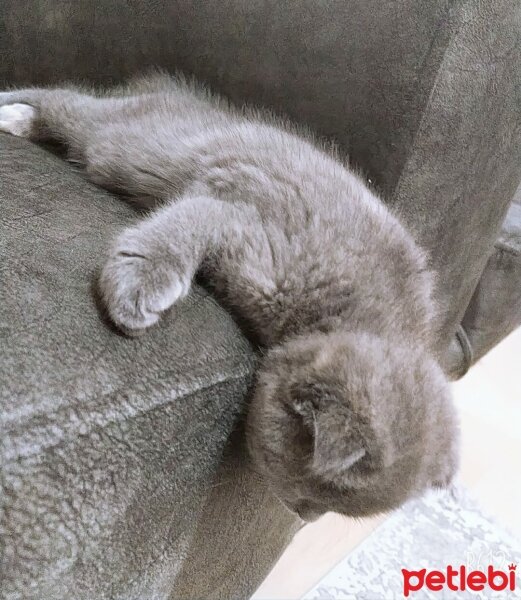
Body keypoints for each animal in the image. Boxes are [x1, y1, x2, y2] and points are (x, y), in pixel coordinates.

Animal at [0, 75, 456, 520]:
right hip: (111, 134)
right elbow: (188, 221)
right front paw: (138, 284)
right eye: (314, 491)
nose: (304, 516)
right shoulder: (243, 227)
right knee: (60, 96)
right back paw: (11, 109)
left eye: (328, 507)